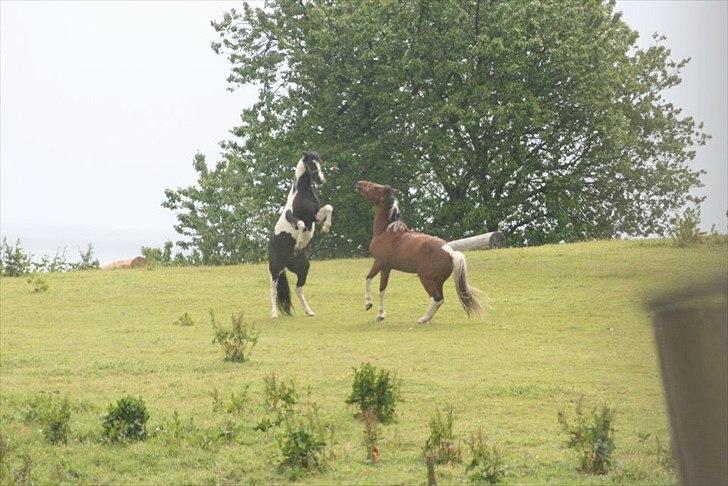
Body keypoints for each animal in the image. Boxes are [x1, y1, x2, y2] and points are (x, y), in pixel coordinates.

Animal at [268, 152, 334, 318]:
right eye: (311, 164)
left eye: (320, 162)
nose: (321, 180)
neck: (302, 195)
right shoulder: (294, 218)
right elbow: (301, 225)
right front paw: (298, 245)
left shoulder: (315, 215)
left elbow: (329, 207)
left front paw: (325, 229)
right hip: (275, 268)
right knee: (273, 290)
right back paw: (274, 314)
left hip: (303, 267)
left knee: (298, 289)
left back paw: (309, 311)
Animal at [356, 180, 484, 324]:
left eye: (376, 188)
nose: (359, 183)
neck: (386, 231)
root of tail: (451, 253)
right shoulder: (386, 268)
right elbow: (382, 289)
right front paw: (380, 315)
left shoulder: (379, 262)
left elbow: (368, 278)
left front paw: (368, 304)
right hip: (437, 282)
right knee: (440, 298)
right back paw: (426, 318)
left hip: (426, 279)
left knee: (437, 299)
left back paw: (423, 319)